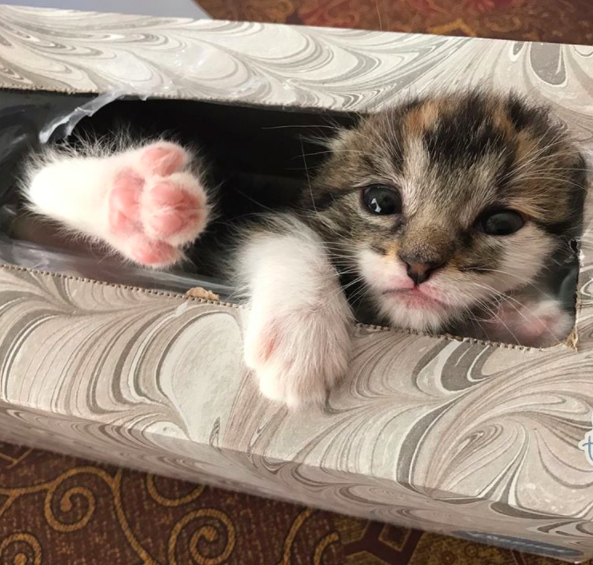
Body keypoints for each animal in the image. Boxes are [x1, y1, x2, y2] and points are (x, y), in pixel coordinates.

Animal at [23, 90, 588, 406]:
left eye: (501, 222)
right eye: (380, 201)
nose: (418, 265)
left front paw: (526, 317)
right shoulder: (252, 215)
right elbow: (284, 232)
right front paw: (303, 336)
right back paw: (131, 197)